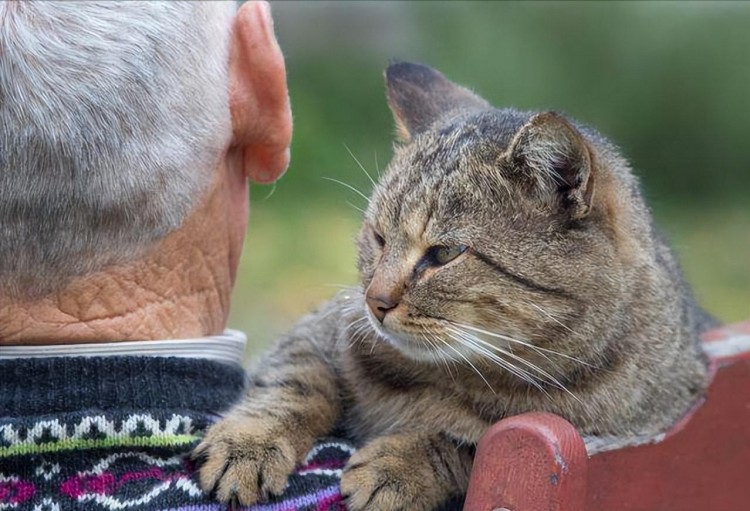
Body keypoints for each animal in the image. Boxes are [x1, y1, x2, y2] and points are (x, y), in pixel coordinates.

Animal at [192, 62, 712, 510]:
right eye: (379, 237)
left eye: (444, 254)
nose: (374, 301)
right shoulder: (323, 327)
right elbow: (293, 381)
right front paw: (249, 444)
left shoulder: (582, 435)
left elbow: (469, 444)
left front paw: (401, 464)